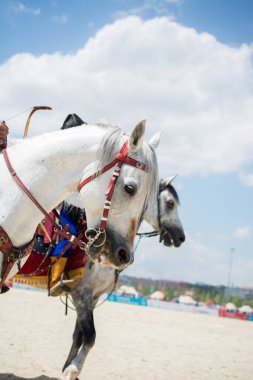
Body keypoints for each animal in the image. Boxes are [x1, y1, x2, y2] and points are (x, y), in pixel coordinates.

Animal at [60, 177, 185, 380]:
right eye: (170, 203)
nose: (181, 237)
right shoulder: (81, 293)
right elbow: (90, 335)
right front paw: (72, 369)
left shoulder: (92, 297)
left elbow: (78, 336)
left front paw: (67, 368)